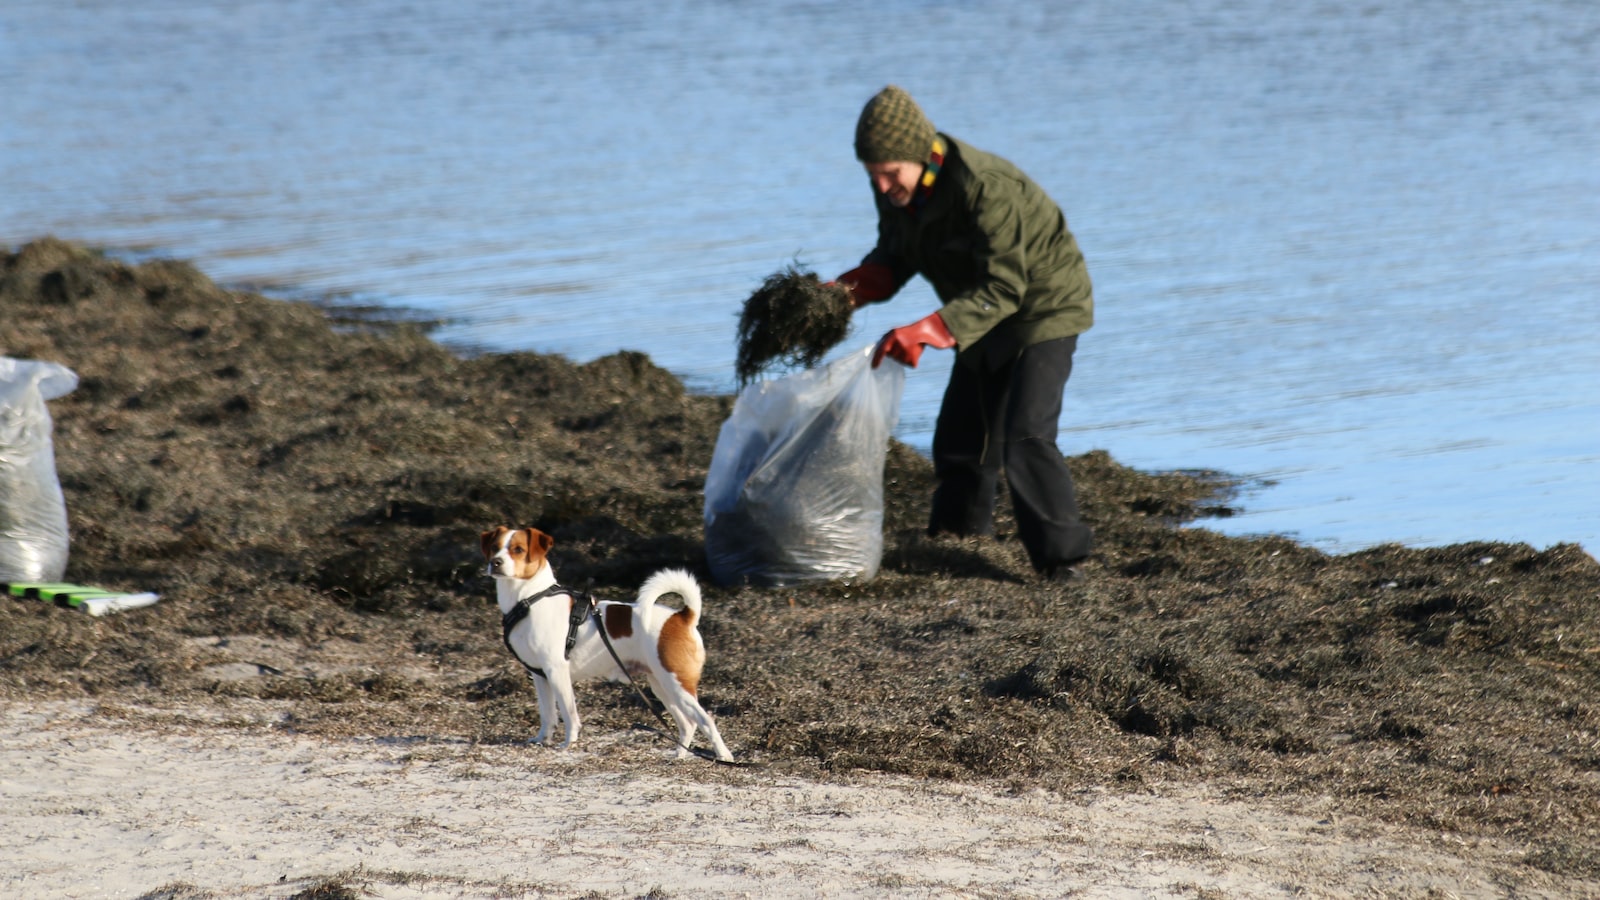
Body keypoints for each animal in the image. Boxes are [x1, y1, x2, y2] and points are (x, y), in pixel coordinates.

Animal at [476, 522, 732, 759]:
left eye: (518, 549)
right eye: (495, 548)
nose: (495, 562)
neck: (530, 599)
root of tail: (683, 616)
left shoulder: (557, 672)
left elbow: (569, 714)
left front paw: (569, 743)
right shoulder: (541, 676)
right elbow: (547, 714)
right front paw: (542, 739)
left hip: (676, 683)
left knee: (705, 719)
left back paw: (723, 756)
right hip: (662, 686)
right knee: (688, 723)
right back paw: (679, 755)